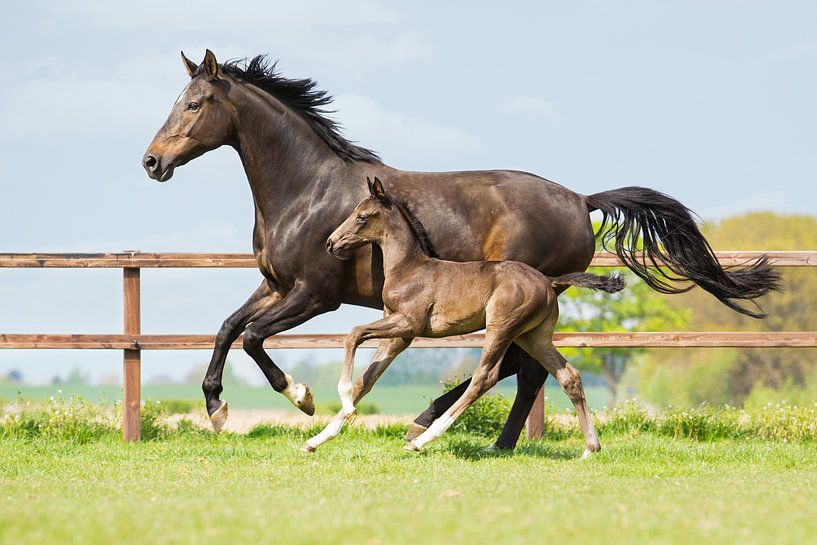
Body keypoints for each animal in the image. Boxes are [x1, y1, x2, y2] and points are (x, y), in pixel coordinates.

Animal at [302, 178, 624, 454]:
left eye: (361, 216)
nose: (331, 242)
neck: (409, 267)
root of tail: (549, 281)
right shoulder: (400, 335)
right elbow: (366, 379)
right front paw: (316, 439)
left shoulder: (408, 323)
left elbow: (354, 334)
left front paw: (343, 403)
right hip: (533, 336)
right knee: (569, 376)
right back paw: (590, 448)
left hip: (501, 328)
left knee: (484, 378)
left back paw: (422, 440)